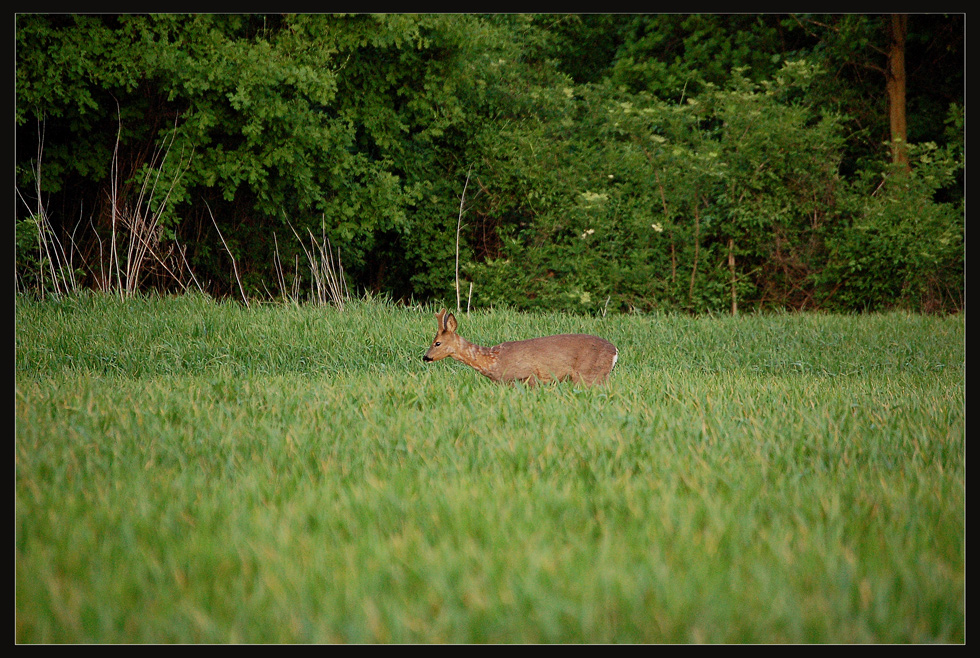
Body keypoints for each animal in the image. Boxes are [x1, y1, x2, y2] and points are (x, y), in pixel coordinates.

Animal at [424, 308, 620, 384]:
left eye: (437, 343)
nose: (425, 357)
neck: (493, 361)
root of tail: (615, 351)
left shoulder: (527, 376)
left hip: (590, 374)